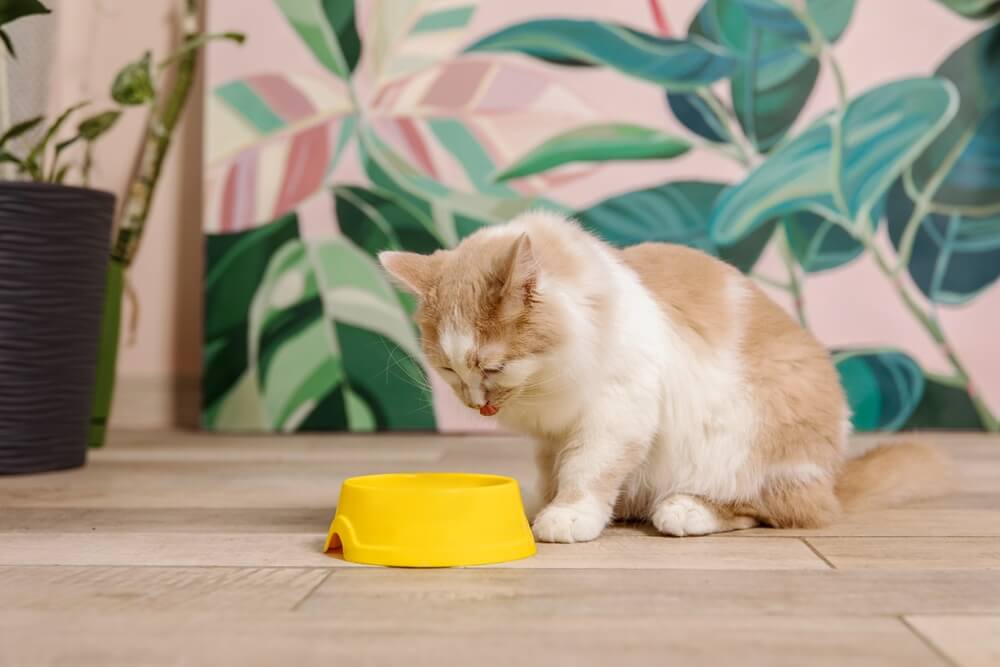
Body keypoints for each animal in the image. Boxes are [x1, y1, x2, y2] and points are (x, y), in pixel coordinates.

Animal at [376, 211, 952, 544]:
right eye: (449, 370)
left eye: (490, 367)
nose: (478, 405)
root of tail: (834, 476)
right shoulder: (554, 434)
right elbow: (554, 470)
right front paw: (542, 505)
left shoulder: (617, 411)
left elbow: (587, 470)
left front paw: (568, 517)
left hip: (745, 445)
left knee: (780, 511)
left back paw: (685, 510)